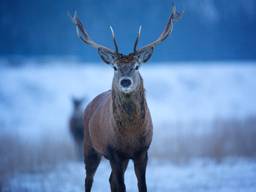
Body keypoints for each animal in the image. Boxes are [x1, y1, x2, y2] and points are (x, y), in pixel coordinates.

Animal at [70, 5, 182, 191]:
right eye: (115, 67)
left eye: (136, 66)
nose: (125, 81)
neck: (130, 135)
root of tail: (88, 105)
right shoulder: (114, 152)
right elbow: (121, 186)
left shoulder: (142, 151)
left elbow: (141, 185)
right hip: (89, 145)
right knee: (89, 179)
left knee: (110, 180)